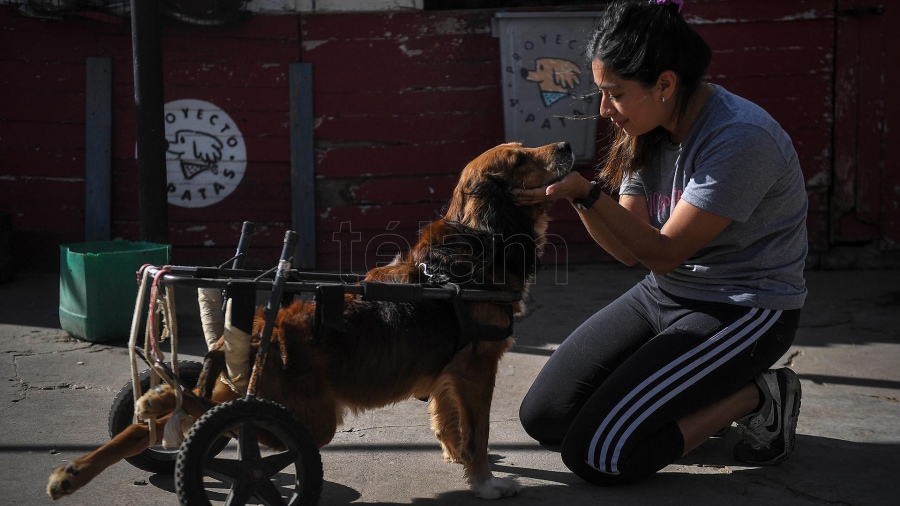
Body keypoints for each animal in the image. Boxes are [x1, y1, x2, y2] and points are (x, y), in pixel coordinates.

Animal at [45, 139, 572, 502]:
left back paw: (95, 454)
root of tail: (257, 335)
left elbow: (447, 422)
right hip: (309, 421)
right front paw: (485, 483)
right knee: (219, 420)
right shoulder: (477, 369)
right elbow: (477, 433)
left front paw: (457, 457)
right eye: (520, 159)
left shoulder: (448, 373)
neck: (472, 246)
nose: (567, 146)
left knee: (184, 410)